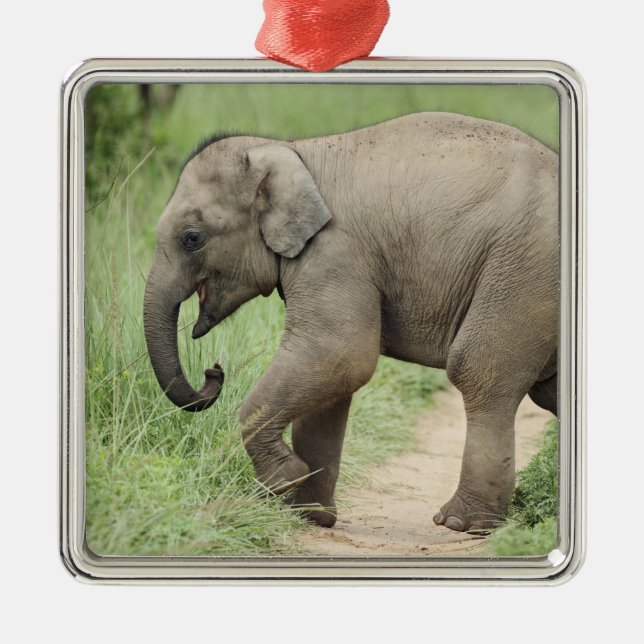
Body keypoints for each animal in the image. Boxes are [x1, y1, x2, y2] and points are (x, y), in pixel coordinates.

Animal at [143, 112, 558, 533]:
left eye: (192, 238)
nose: (214, 371)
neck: (291, 150)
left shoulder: (334, 252)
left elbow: (340, 355)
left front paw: (284, 480)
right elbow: (331, 384)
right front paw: (308, 514)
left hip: (523, 274)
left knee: (479, 371)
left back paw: (460, 523)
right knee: (547, 391)